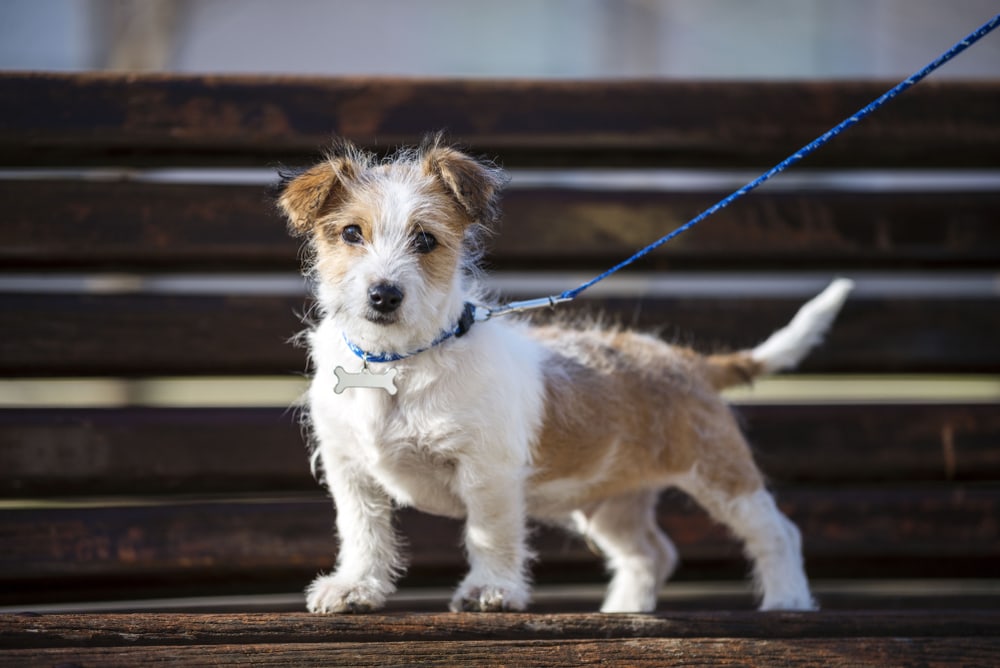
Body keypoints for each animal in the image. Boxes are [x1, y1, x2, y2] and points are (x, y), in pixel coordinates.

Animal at [276, 136, 852, 616]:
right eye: (352, 233)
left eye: (425, 241)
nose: (384, 295)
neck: (396, 363)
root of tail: (687, 361)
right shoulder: (350, 470)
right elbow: (363, 533)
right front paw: (355, 587)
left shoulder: (487, 472)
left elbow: (490, 533)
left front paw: (491, 589)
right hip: (613, 503)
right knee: (650, 553)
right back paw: (624, 610)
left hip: (723, 476)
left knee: (777, 533)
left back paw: (787, 601)